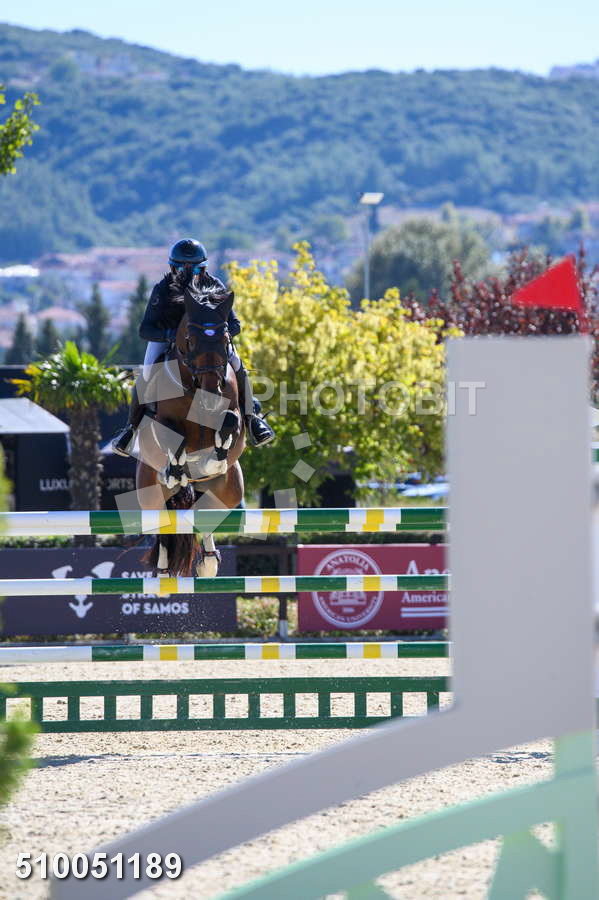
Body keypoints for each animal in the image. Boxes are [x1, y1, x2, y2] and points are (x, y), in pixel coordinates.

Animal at [135, 287, 245, 576]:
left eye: (225, 338)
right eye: (190, 340)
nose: (210, 394)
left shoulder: (235, 414)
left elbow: (230, 420)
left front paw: (215, 459)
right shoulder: (164, 423)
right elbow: (176, 434)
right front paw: (177, 468)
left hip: (228, 492)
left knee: (205, 516)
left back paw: (208, 562)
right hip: (150, 494)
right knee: (164, 526)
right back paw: (163, 572)